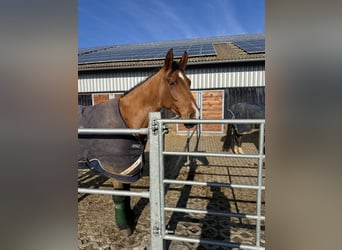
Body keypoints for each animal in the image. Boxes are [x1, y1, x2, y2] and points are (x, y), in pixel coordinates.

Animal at [78, 49, 199, 236]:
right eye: (172, 82)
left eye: (189, 81)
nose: (194, 114)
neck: (126, 118)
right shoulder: (116, 169)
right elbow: (119, 196)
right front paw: (124, 227)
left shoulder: (127, 168)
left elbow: (127, 194)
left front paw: (131, 218)